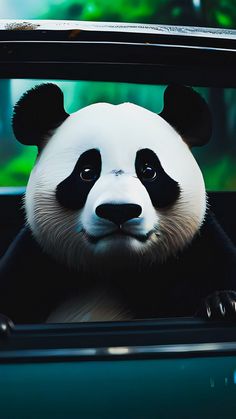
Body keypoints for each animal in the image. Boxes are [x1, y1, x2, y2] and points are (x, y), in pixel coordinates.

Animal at [0, 83, 236, 324]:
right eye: (86, 172)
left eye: (149, 171)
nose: (119, 210)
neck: (117, 268)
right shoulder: (36, 254)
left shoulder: (197, 242)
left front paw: (221, 303)